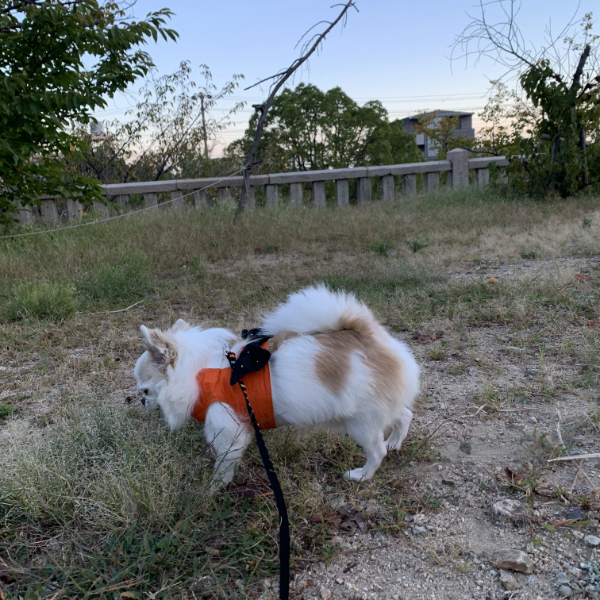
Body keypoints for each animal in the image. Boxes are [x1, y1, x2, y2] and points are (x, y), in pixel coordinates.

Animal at [134, 286, 420, 488]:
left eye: (144, 390)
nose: (140, 401)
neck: (200, 373)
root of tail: (367, 336)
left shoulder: (229, 432)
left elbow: (223, 465)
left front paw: (213, 489)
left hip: (360, 423)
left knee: (376, 450)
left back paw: (362, 475)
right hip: (370, 411)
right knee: (404, 415)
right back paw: (395, 441)